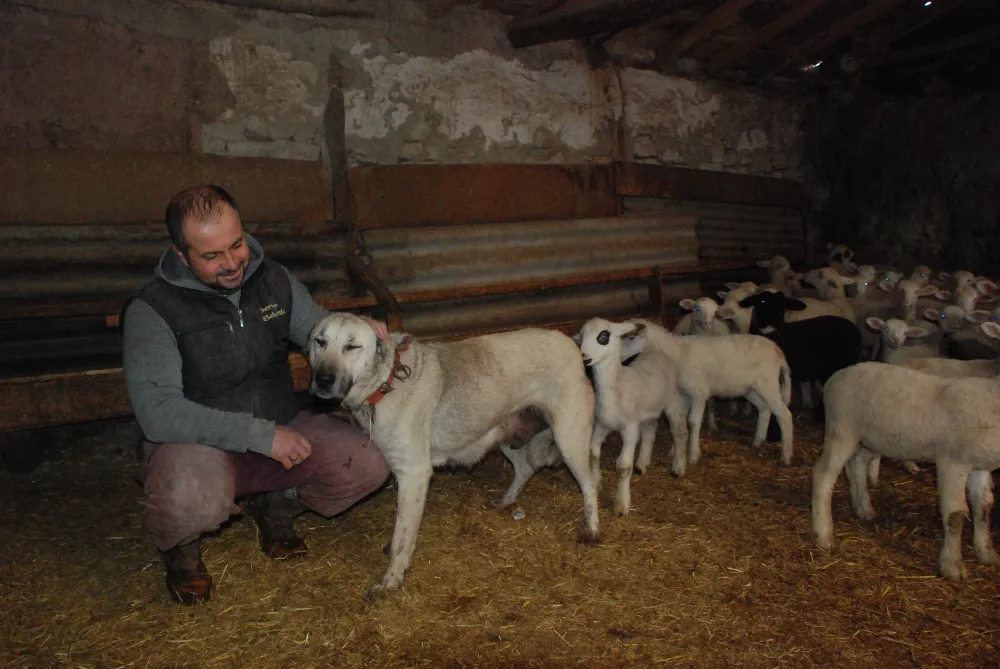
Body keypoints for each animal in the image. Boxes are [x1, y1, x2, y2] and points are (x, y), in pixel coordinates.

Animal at [306, 314, 600, 596]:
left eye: (352, 346)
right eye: (320, 342)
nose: (323, 380)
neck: (386, 382)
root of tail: (570, 344)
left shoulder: (414, 474)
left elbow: (402, 537)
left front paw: (391, 580)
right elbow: (402, 527)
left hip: (569, 438)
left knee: (589, 485)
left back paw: (592, 529)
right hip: (500, 432)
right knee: (525, 467)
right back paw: (506, 501)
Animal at [812, 360, 1000, 580]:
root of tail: (836, 376)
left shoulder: (980, 465)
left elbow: (984, 507)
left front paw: (987, 552)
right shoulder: (952, 461)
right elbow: (956, 513)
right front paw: (952, 565)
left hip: (869, 439)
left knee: (856, 464)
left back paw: (864, 509)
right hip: (841, 430)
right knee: (822, 476)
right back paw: (824, 535)